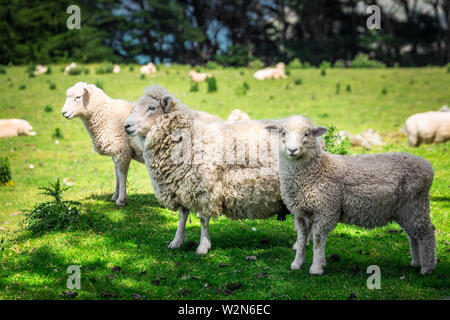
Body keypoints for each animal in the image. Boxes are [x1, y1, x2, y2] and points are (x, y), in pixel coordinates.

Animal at [124, 84, 288, 255]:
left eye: (151, 107)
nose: (126, 126)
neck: (188, 139)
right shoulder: (180, 187)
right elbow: (182, 217)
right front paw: (177, 241)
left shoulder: (204, 188)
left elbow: (203, 219)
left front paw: (203, 246)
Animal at [268, 115, 436, 276]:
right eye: (283, 133)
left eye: (307, 134)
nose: (292, 150)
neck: (316, 170)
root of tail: (427, 166)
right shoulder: (300, 214)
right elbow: (302, 239)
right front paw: (297, 264)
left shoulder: (326, 210)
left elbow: (318, 240)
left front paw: (316, 268)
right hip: (405, 210)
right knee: (413, 235)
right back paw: (416, 263)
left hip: (416, 204)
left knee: (426, 233)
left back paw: (427, 268)